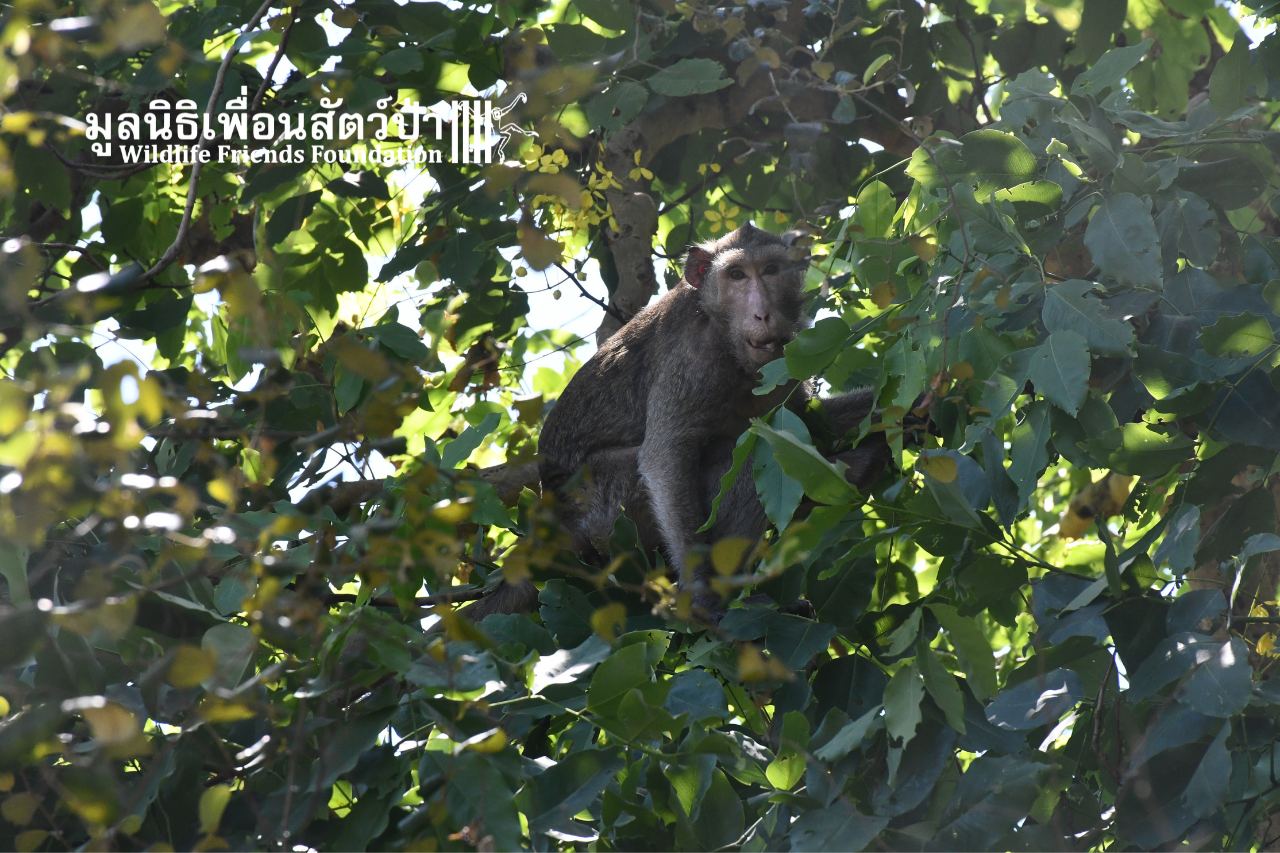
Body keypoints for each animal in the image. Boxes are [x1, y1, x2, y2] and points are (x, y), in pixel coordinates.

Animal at [457, 223, 907, 625]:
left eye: (771, 270)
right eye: (737, 275)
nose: (762, 313)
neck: (725, 338)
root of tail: (548, 526)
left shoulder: (789, 358)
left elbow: (811, 421)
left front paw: (910, 410)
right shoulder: (691, 360)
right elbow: (666, 458)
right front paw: (703, 597)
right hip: (605, 511)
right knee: (749, 453)